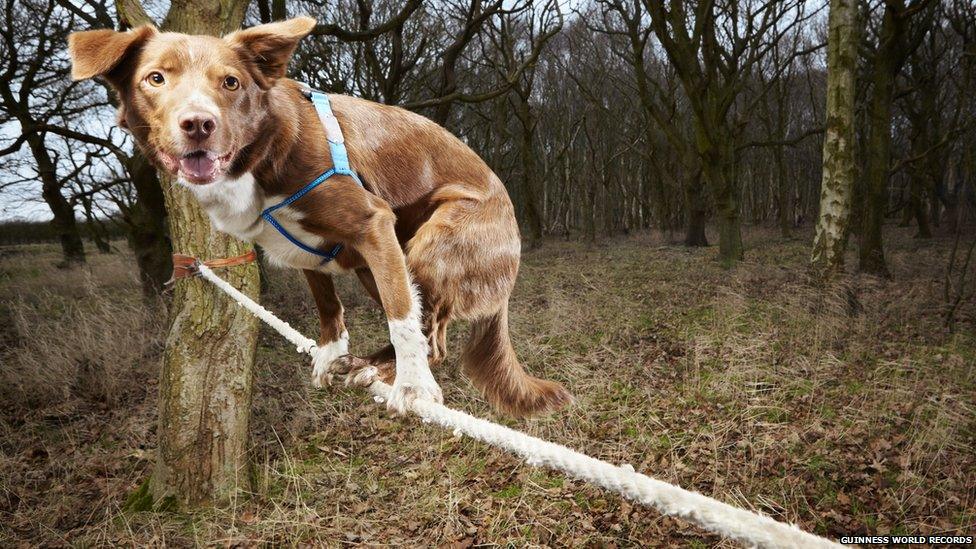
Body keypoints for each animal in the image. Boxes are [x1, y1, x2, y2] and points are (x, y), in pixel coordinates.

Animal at [68, 15, 572, 414]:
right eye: (155, 78)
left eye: (230, 82)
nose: (197, 124)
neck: (262, 153)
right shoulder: (308, 252)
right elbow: (328, 304)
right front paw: (332, 354)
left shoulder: (373, 222)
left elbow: (401, 316)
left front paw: (413, 388)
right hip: (383, 264)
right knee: (426, 328)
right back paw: (370, 365)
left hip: (433, 244)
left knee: (430, 336)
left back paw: (389, 373)